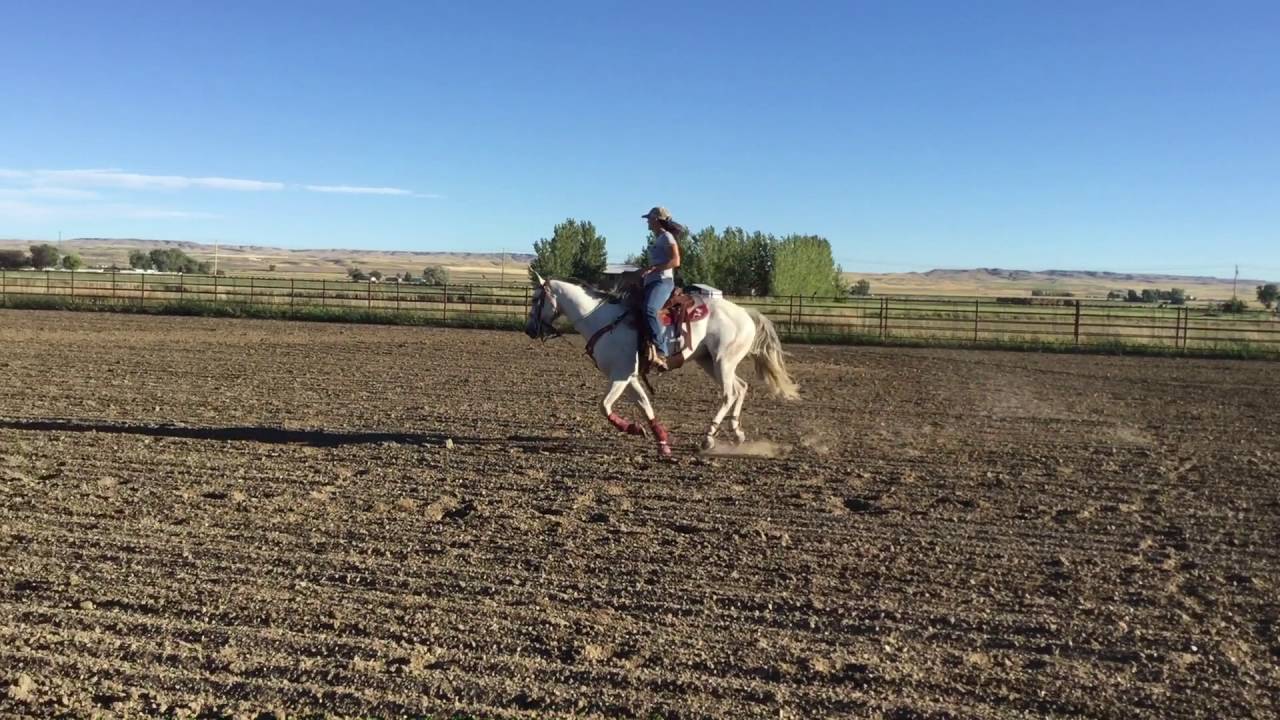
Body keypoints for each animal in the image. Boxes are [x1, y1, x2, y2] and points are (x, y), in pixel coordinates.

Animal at [525, 273, 799, 457]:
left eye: (537, 298)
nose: (529, 330)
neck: (602, 320)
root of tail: (747, 314)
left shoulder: (620, 375)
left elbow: (604, 406)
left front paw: (633, 428)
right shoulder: (629, 377)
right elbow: (645, 405)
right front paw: (658, 439)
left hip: (724, 361)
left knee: (729, 393)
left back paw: (708, 439)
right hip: (709, 361)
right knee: (741, 388)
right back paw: (737, 433)